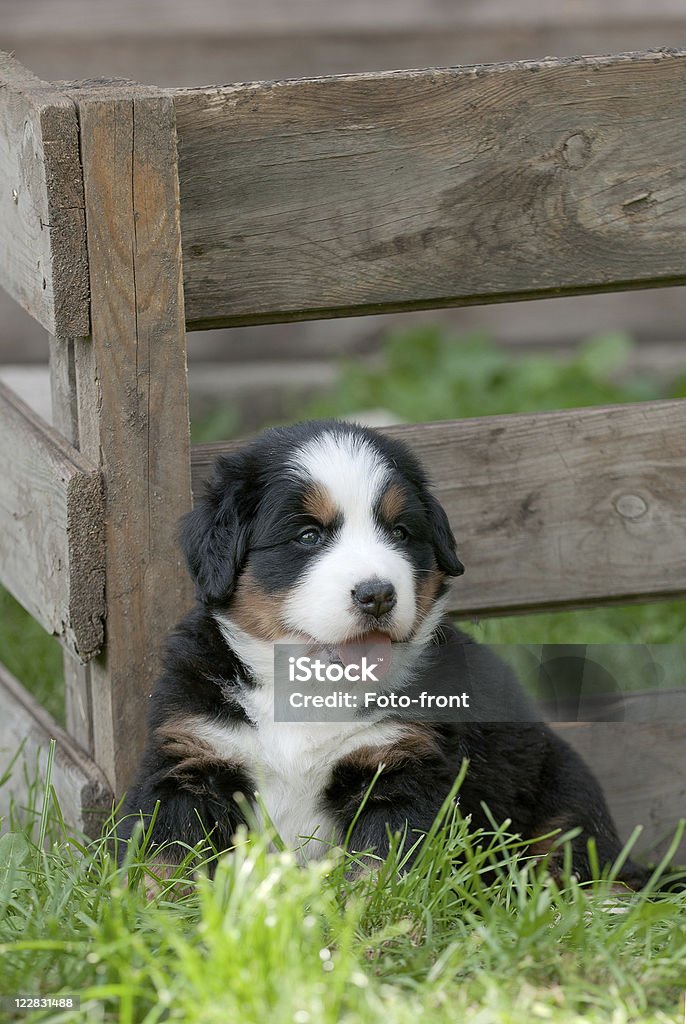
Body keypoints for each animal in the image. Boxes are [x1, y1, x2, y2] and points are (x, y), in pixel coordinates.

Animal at [119, 423, 651, 888]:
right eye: (308, 536)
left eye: (399, 532)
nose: (377, 594)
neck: (312, 688)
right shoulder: (192, 758)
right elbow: (165, 855)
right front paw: (152, 914)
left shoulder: (401, 767)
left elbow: (382, 872)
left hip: (563, 796)